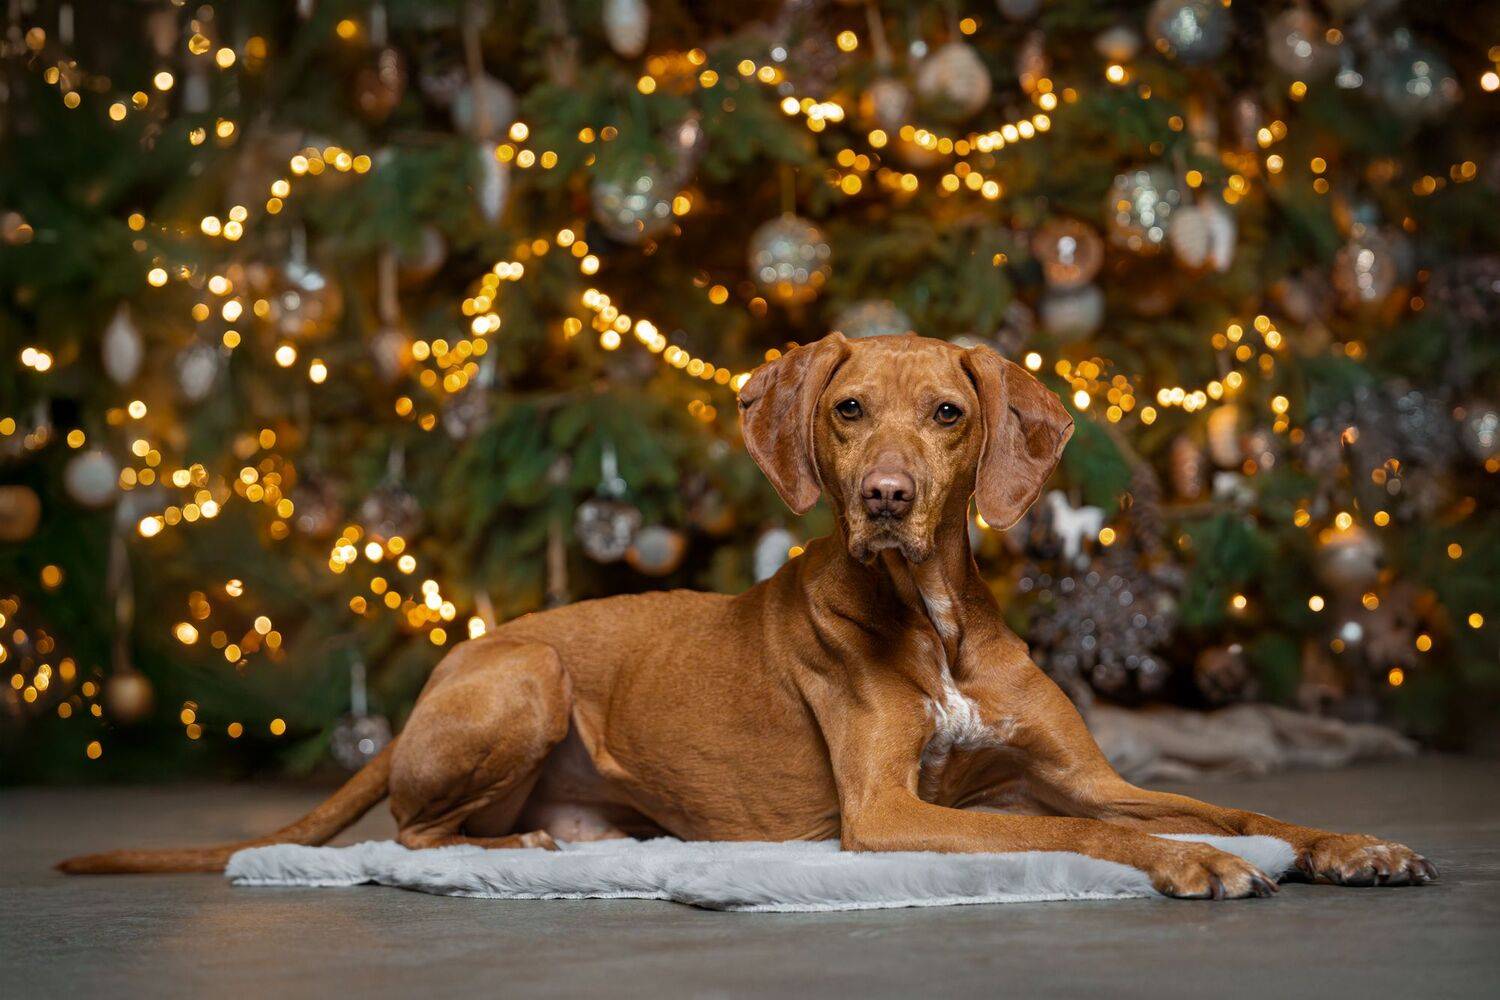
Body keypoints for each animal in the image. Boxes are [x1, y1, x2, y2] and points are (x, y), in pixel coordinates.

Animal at [60, 332, 1436, 898]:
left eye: (948, 413)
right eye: (846, 412)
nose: (884, 499)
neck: (930, 614)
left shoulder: (1084, 774)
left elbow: (1230, 806)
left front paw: (1347, 844)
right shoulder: (886, 815)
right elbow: (1091, 838)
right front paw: (1190, 864)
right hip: (524, 680)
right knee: (411, 833)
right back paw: (527, 847)